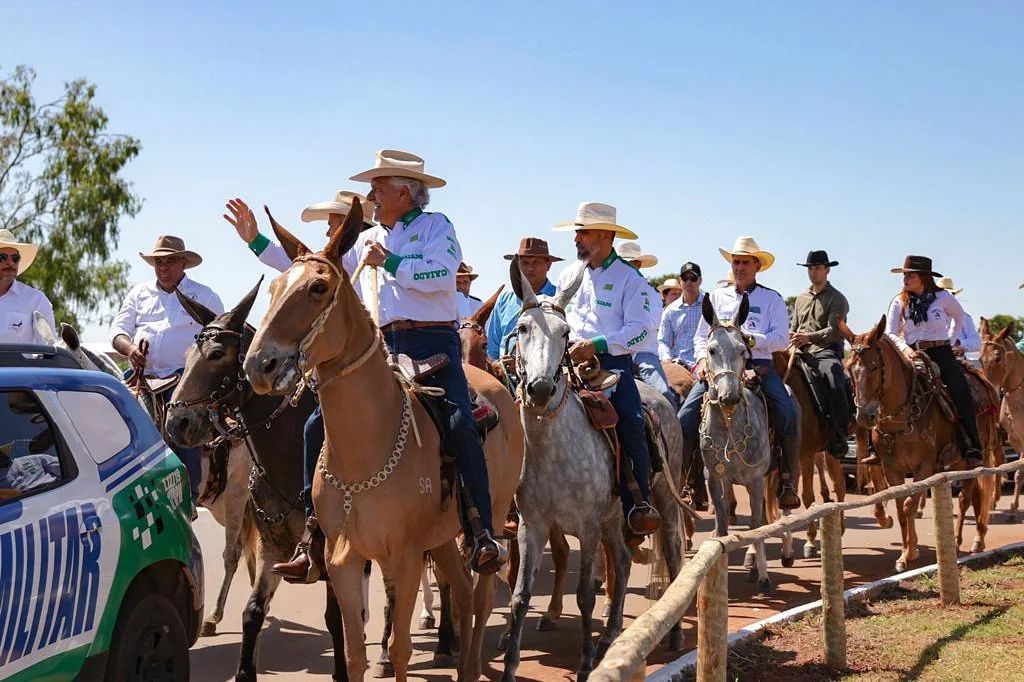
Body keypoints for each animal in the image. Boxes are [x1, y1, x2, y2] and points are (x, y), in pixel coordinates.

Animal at [243, 197, 524, 679]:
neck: (366, 448)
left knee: (482, 596)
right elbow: (354, 648)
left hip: (492, 518)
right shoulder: (342, 560)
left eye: (318, 288)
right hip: (443, 536)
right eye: (275, 286)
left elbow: (399, 646)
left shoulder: (404, 558)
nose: (259, 364)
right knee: (462, 592)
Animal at [700, 294, 786, 593]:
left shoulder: (755, 480)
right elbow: (722, 525)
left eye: (742, 350)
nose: (729, 396)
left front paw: (763, 575)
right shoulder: (715, 478)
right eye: (712, 350)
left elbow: (757, 526)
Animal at [839, 315, 999, 569]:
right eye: (849, 369)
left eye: (874, 367)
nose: (864, 416)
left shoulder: (923, 467)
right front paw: (906, 552)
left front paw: (910, 552)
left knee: (966, 499)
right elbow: (900, 506)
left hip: (973, 458)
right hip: (955, 463)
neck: (903, 418)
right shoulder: (892, 469)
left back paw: (961, 541)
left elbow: (908, 505)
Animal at [974, 319, 1024, 516]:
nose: (992, 390)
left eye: (998, 358)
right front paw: (1013, 508)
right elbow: (1018, 472)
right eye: (980, 359)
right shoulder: (1015, 439)